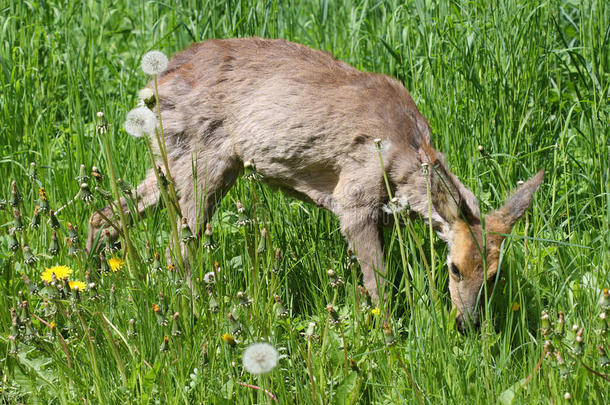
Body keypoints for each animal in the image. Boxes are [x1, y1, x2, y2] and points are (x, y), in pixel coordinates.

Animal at [86, 37, 540, 332]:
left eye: (495, 275)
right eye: (454, 268)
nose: (467, 323)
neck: (406, 152)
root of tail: (153, 86)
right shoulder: (353, 197)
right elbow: (379, 286)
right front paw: (390, 340)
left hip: (176, 158)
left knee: (106, 214)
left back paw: (88, 273)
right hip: (204, 161)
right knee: (177, 247)